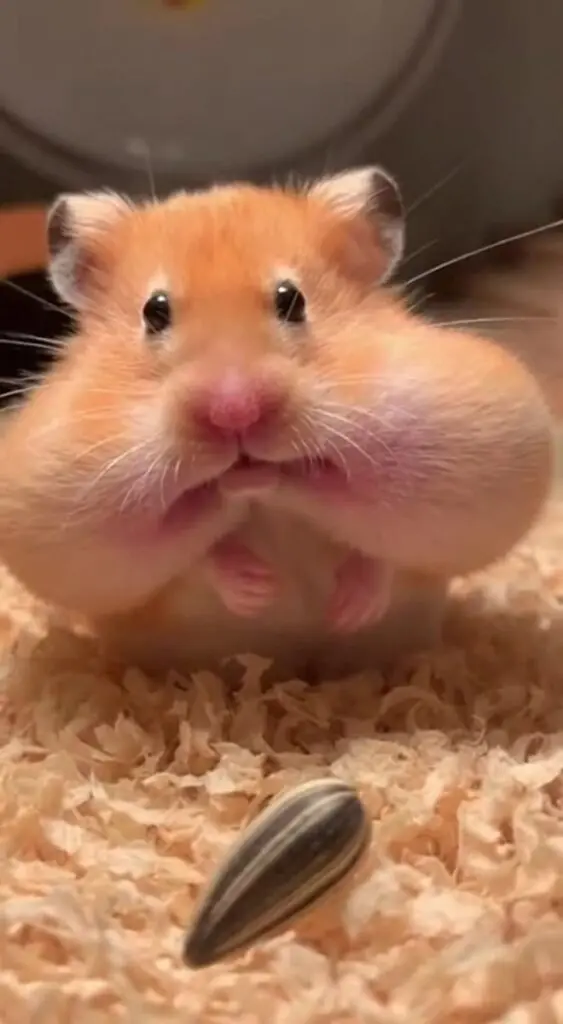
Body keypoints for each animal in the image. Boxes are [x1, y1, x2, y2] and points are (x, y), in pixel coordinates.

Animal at [0, 167, 554, 678]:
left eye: (292, 299)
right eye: (154, 312)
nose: (234, 411)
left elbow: (377, 529)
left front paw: (346, 606)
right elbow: (187, 538)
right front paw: (255, 580)